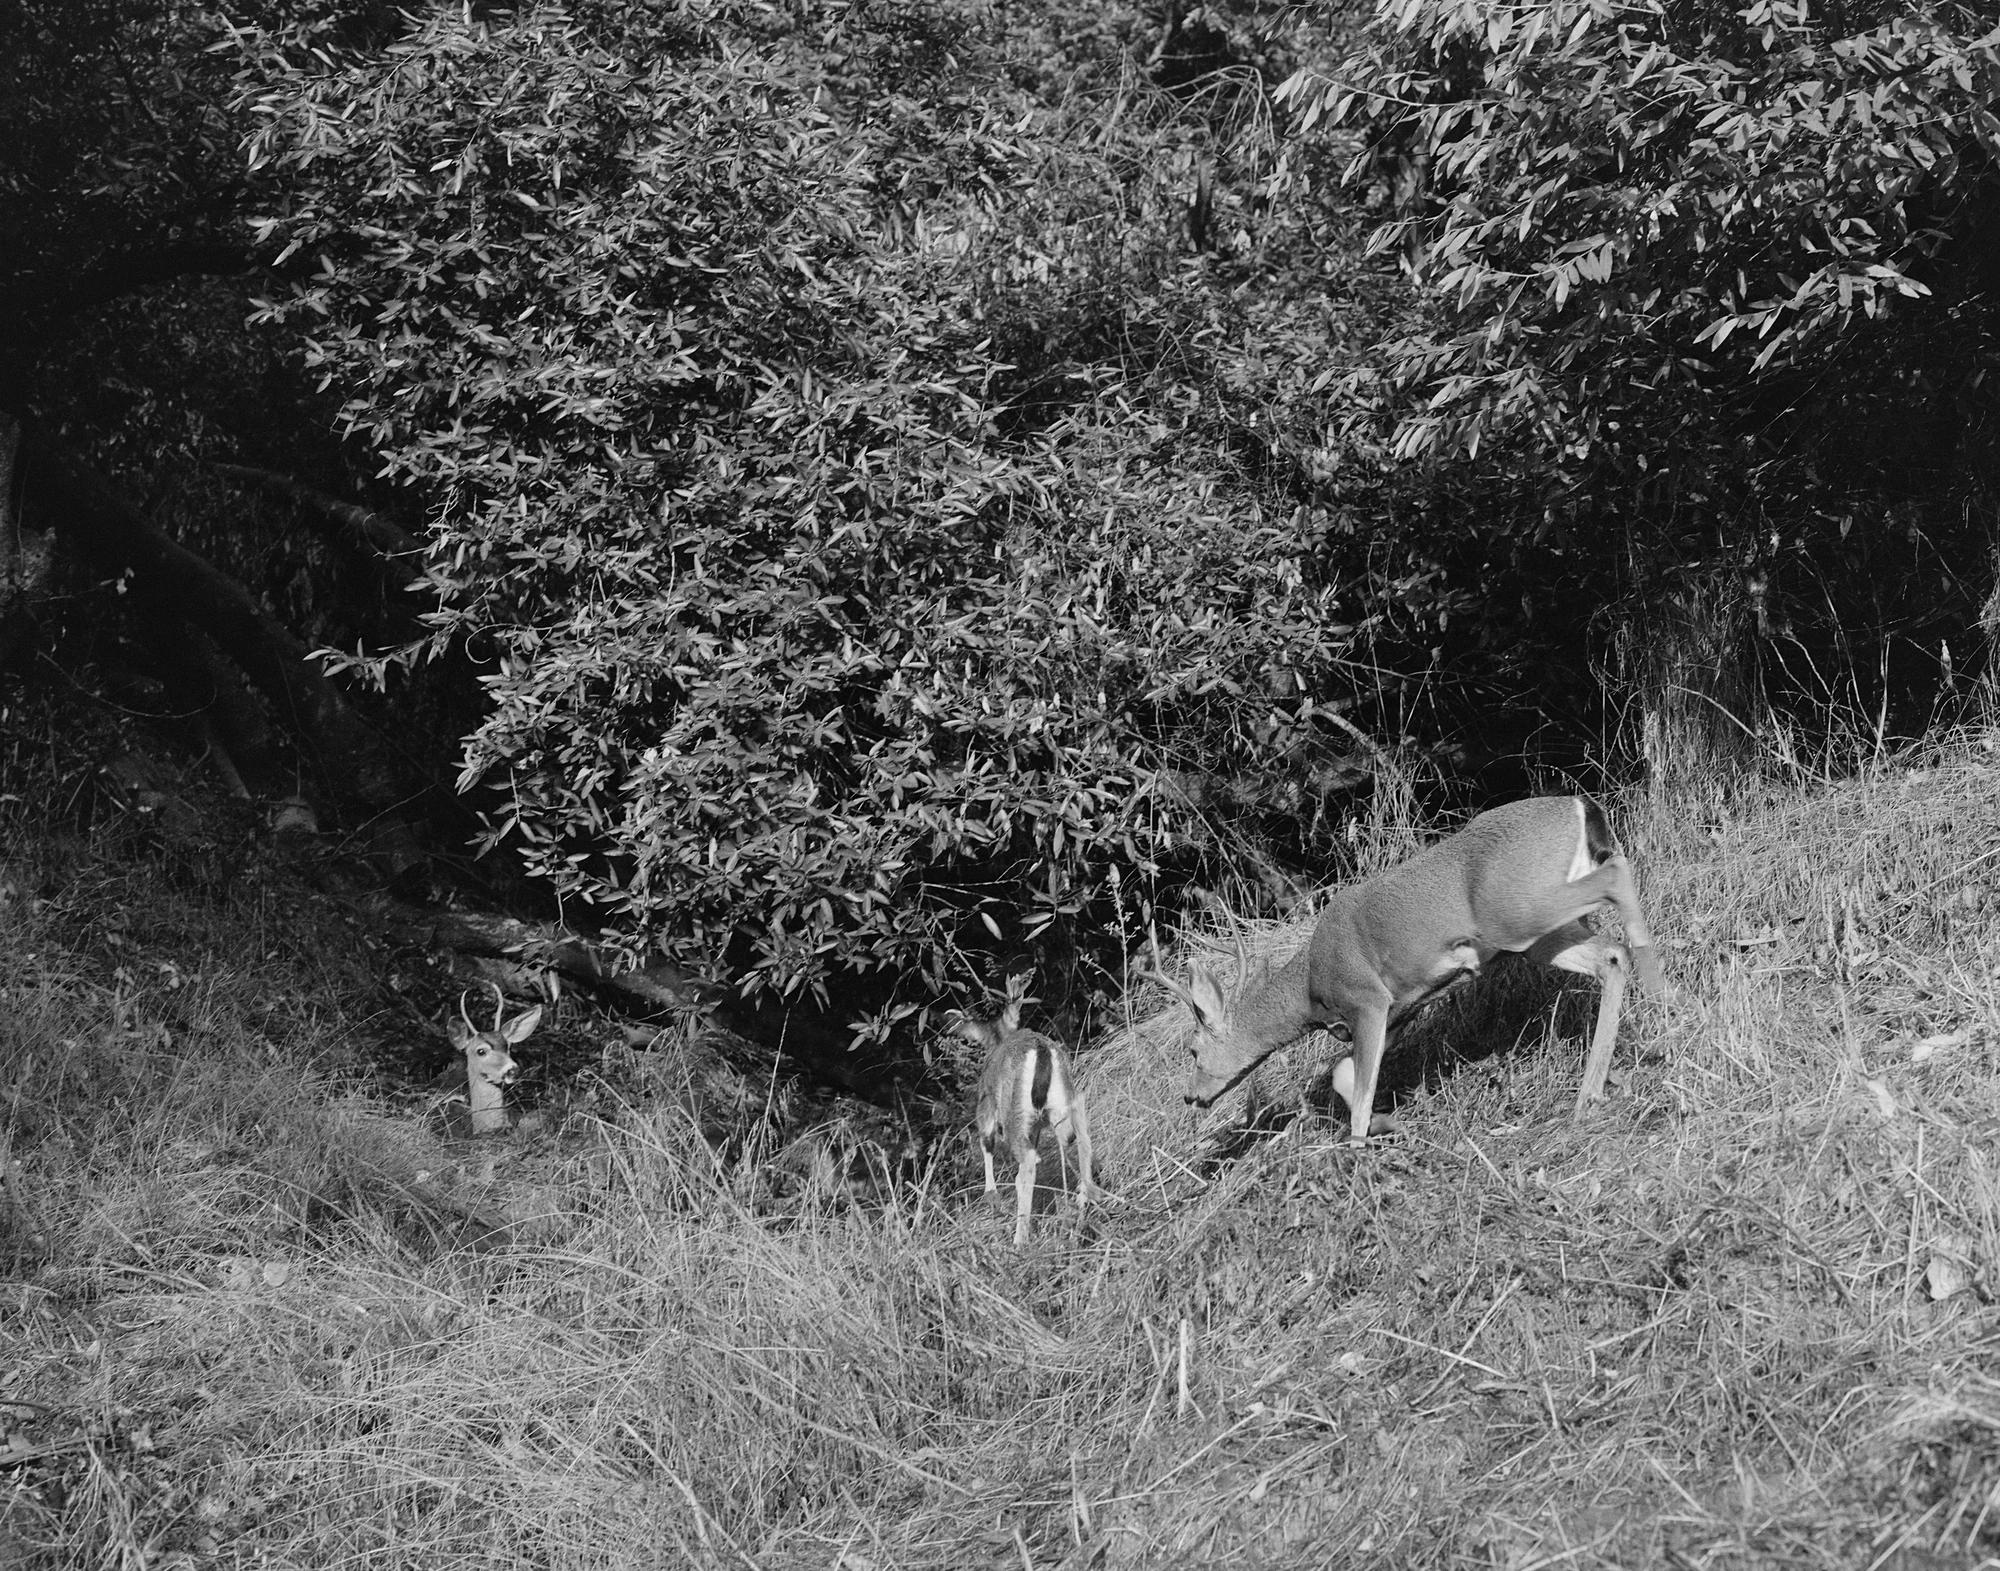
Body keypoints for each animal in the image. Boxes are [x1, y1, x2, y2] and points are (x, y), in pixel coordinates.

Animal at [956, 978, 1100, 1245]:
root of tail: (1041, 1052)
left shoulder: (987, 1103)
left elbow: (986, 1141)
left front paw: (991, 1196)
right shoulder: (1034, 1129)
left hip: (1014, 1114)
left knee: (1026, 1165)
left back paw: (1020, 1239)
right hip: (1066, 1101)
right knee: (1081, 1138)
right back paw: (1081, 1211)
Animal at [1152, 796, 1662, 1145]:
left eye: (1194, 1050)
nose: (1190, 1096)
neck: (1311, 990)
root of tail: (1582, 805)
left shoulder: (1366, 999)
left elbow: (1358, 1097)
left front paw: (1359, 1152)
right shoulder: (1402, 1005)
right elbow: (1343, 1075)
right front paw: (1390, 1122)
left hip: (1516, 911)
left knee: (1618, 874)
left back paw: (1661, 997)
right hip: (1538, 938)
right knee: (1611, 956)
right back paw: (1590, 1093)